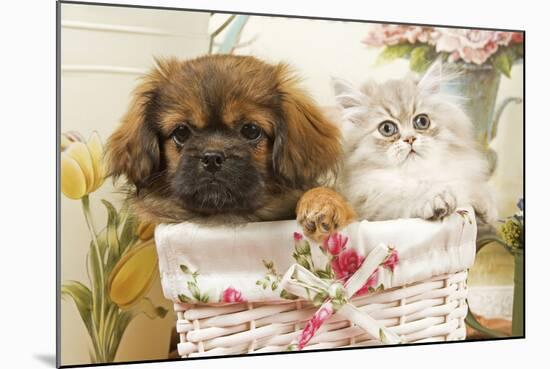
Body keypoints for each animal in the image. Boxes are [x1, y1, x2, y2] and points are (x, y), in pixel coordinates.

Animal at [334, 60, 498, 223]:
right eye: (387, 128)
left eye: (422, 121)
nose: (410, 138)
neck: (417, 177)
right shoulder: (368, 208)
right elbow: (402, 200)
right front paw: (433, 199)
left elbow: (471, 189)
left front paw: (486, 204)